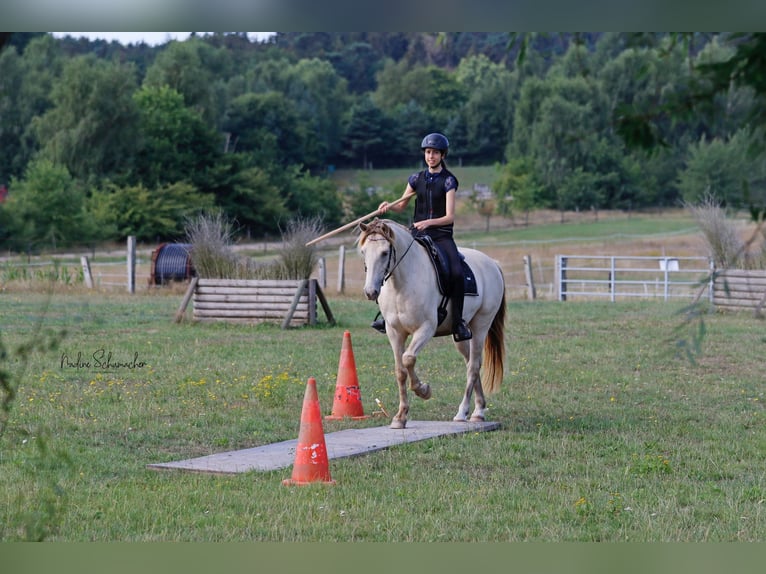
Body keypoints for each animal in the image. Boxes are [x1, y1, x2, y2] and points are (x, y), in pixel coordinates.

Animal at [358, 218, 508, 430]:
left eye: (385, 252)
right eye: (364, 252)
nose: (370, 291)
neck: (402, 283)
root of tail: (492, 263)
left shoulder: (426, 329)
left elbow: (408, 359)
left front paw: (424, 390)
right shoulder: (394, 332)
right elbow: (400, 371)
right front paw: (400, 417)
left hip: (481, 325)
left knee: (473, 366)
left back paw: (464, 412)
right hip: (462, 336)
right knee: (472, 362)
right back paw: (478, 410)